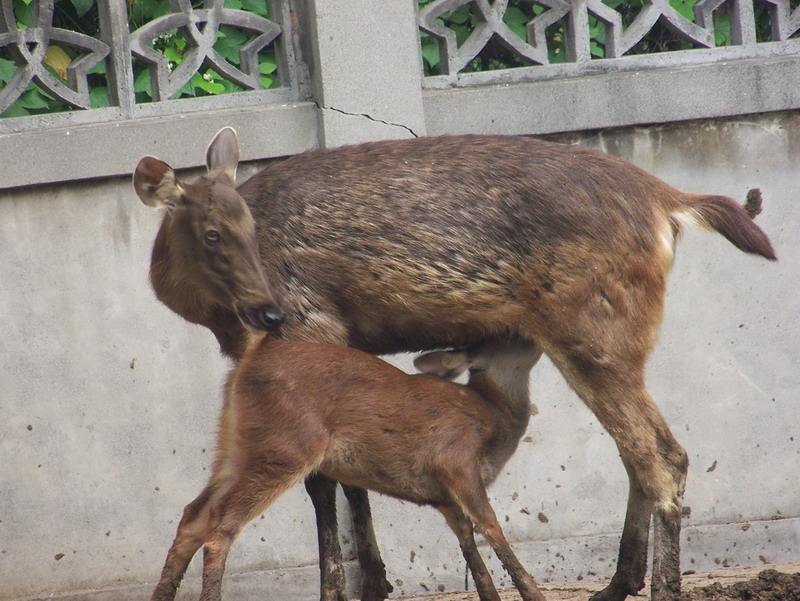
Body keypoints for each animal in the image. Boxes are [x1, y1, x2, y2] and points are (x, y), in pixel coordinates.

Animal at [133, 127, 776, 600]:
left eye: (247, 228)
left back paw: (659, 586)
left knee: (662, 455)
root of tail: (672, 204)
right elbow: (351, 472)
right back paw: (618, 583)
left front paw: (344, 588)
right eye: (213, 233)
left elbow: (324, 480)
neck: (206, 309)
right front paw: (375, 581)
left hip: (594, 331)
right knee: (635, 451)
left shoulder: (311, 320)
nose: (265, 308)